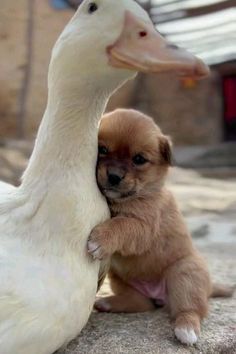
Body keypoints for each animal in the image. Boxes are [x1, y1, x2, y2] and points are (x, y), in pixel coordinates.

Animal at [87, 108, 231, 346]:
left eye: (139, 159)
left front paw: (101, 239)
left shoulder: (143, 226)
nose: (114, 176)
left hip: (184, 274)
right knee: (141, 303)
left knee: (191, 309)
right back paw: (107, 303)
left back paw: (186, 329)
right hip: (119, 277)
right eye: (103, 149)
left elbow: (121, 224)